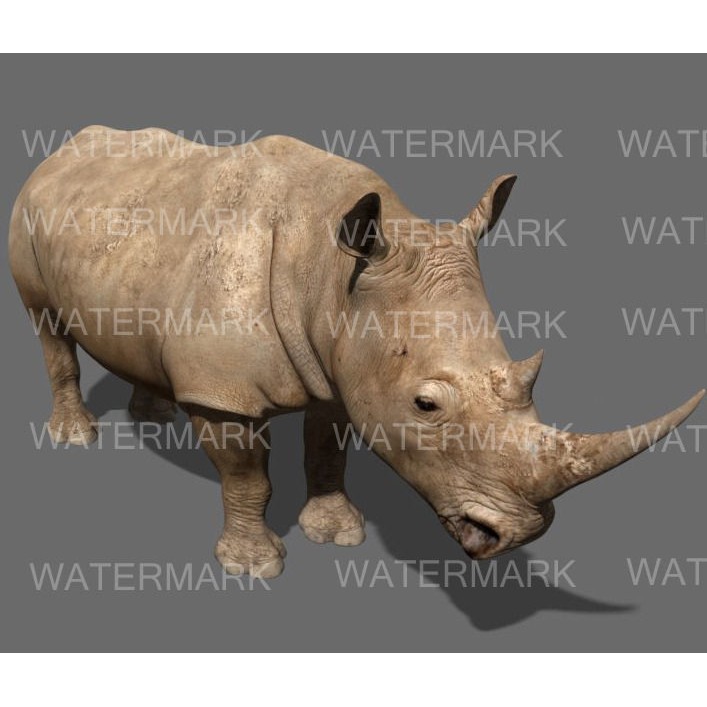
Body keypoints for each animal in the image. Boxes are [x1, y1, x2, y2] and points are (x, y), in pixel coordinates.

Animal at [9, 126, 704, 578]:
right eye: (426, 406)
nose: (515, 534)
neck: (328, 274)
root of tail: (64, 148)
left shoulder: (343, 362)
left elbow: (328, 447)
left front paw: (339, 533)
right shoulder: (228, 392)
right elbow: (247, 475)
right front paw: (253, 567)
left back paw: (154, 417)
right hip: (27, 217)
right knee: (45, 323)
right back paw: (77, 437)